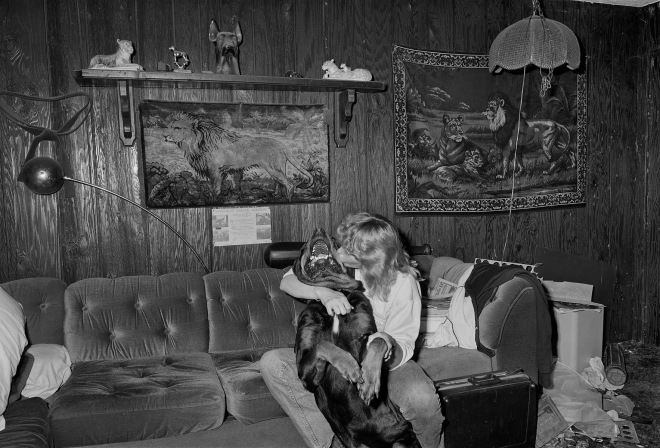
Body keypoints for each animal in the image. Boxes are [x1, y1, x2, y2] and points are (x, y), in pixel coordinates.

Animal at [292, 229, 418, 446]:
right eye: (302, 248)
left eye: (335, 241)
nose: (318, 230)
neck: (335, 290)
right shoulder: (305, 371)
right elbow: (323, 344)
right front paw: (349, 365)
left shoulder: (364, 335)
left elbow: (378, 341)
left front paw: (368, 382)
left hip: (402, 440)